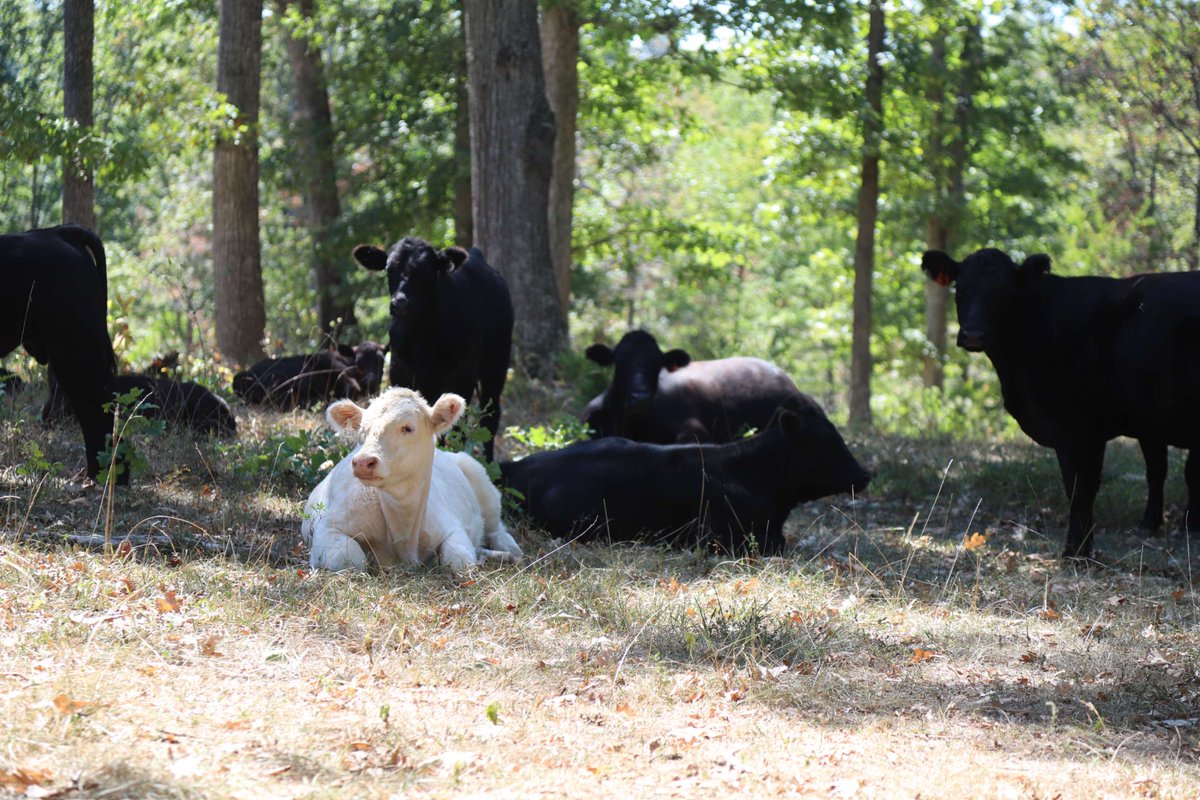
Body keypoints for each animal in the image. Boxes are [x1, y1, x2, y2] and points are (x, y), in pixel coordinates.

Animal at [301, 387, 524, 572]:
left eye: (408, 428)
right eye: (362, 431)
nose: (363, 462)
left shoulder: (452, 527)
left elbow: (458, 561)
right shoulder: (328, 527)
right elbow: (351, 558)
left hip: (482, 481)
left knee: (496, 528)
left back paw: (511, 550)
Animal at [353, 237, 513, 461]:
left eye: (427, 269)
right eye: (389, 267)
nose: (400, 303)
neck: (424, 338)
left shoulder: (463, 375)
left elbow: (455, 427)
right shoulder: (399, 369)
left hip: (497, 362)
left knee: (490, 415)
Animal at [922, 247, 1200, 559]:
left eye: (1004, 292)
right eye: (960, 288)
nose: (972, 334)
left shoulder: (1076, 428)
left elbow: (1080, 488)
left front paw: (1075, 551)